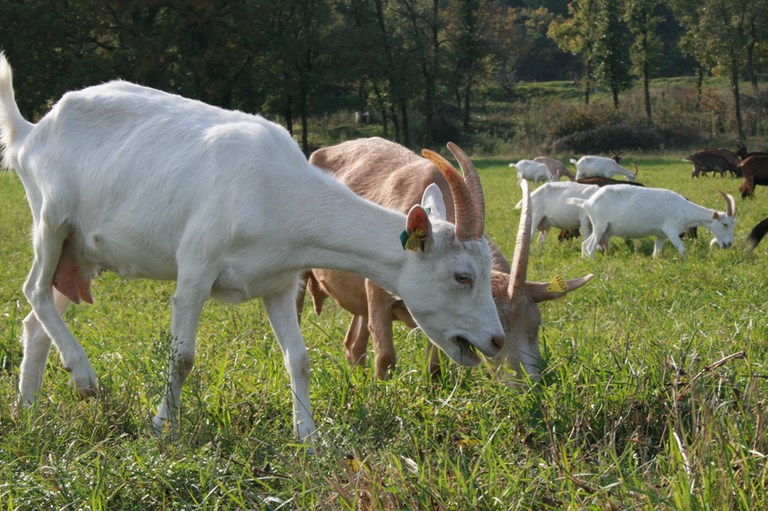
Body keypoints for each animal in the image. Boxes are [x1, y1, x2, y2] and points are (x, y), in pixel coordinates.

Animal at [0, 54, 504, 442]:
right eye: (463, 276)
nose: (496, 340)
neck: (276, 192)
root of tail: (31, 133)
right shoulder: (196, 268)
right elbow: (182, 357)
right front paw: (162, 428)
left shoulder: (279, 282)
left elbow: (299, 359)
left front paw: (309, 438)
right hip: (51, 219)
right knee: (33, 290)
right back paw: (83, 377)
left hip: (83, 254)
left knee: (35, 323)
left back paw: (28, 412)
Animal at [302, 138, 592, 386]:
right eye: (463, 278)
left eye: (536, 325)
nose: (527, 385)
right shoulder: (378, 295)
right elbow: (385, 359)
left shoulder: (443, 317)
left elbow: (435, 366)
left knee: (353, 344)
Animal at [572, 185, 736, 260]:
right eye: (725, 224)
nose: (728, 244)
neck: (684, 209)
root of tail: (588, 202)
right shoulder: (671, 231)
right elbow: (682, 249)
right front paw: (686, 262)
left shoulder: (661, 235)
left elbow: (656, 253)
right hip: (600, 225)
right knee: (590, 246)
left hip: (603, 228)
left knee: (585, 244)